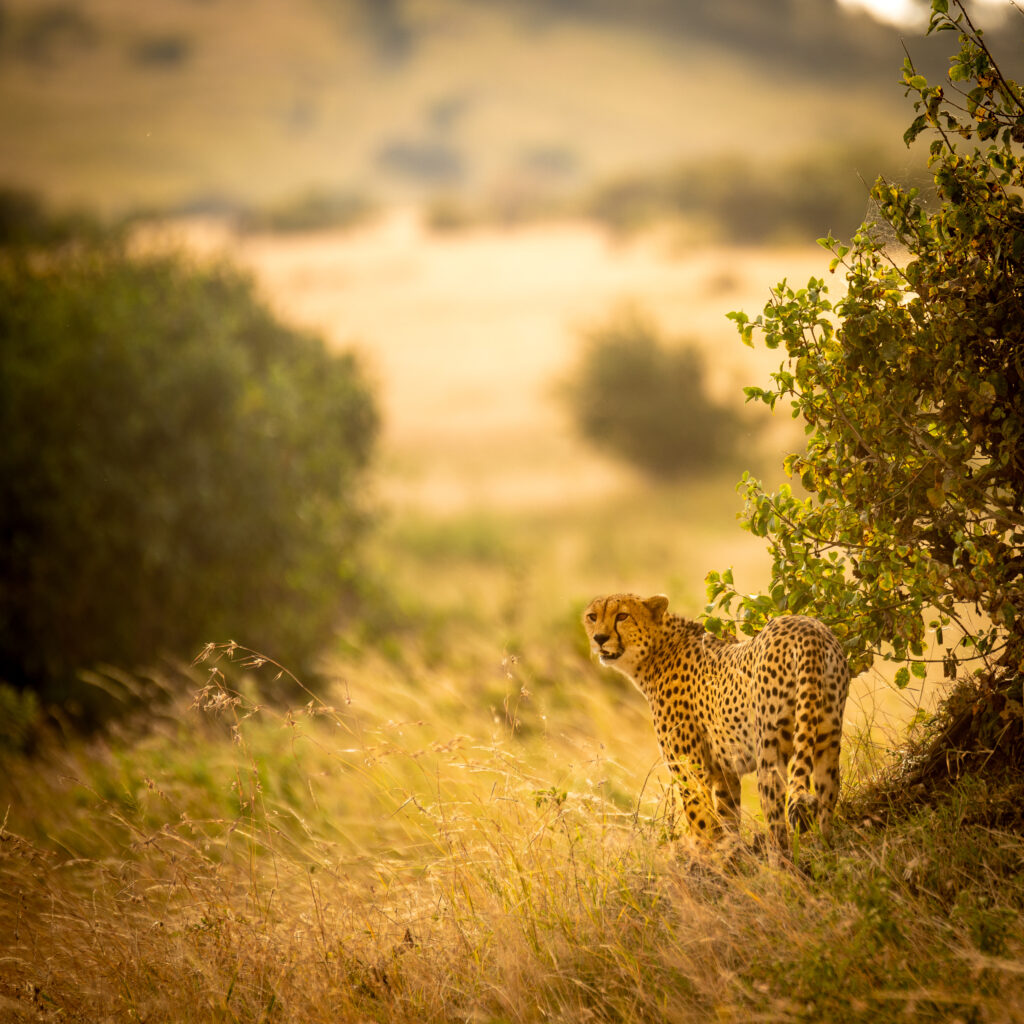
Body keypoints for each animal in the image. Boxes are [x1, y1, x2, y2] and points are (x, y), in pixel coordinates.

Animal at [583, 592, 850, 853]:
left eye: (622, 616)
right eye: (592, 616)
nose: (599, 638)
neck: (657, 651)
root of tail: (808, 628)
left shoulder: (690, 768)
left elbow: (700, 819)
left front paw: (703, 856)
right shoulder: (725, 768)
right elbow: (726, 817)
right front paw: (730, 854)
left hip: (770, 749)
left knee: (777, 824)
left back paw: (779, 861)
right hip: (827, 737)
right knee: (827, 798)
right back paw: (825, 853)